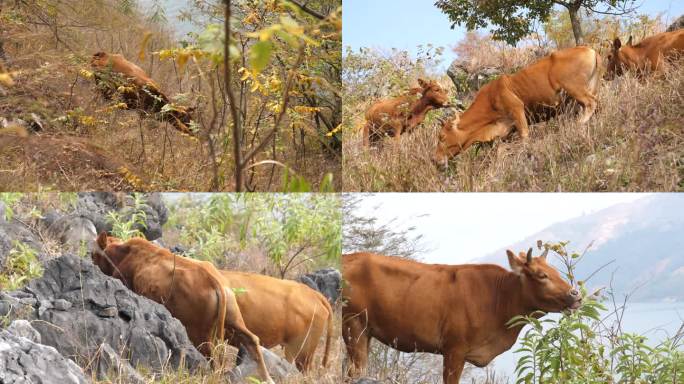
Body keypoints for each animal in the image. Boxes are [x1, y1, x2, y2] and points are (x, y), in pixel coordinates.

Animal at [430, 46, 600, 166]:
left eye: (442, 137)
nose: (434, 159)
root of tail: (588, 49)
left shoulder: (517, 110)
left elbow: (524, 136)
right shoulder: (505, 130)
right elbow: (499, 150)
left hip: (574, 88)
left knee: (591, 103)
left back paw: (579, 123)